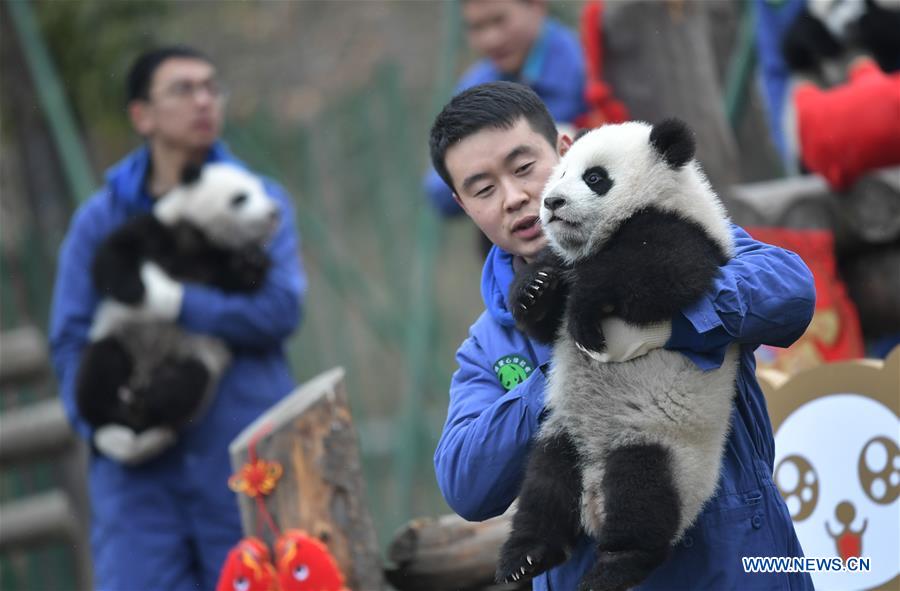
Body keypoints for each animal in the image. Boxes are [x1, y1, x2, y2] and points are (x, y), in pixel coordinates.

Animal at [76, 162, 280, 464]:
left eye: (262, 189)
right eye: (241, 197)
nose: (274, 212)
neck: (203, 238)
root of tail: (143, 373)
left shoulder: (218, 265)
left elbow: (245, 287)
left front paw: (253, 260)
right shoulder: (160, 227)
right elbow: (115, 251)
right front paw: (135, 290)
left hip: (195, 358)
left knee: (184, 385)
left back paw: (147, 402)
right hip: (118, 336)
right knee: (100, 368)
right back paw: (115, 413)